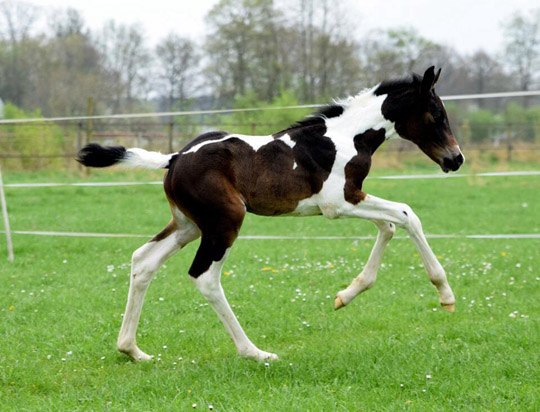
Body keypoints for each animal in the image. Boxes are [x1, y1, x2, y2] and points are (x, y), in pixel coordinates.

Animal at [77, 67, 464, 360]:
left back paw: (132, 350)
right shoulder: (339, 203)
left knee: (143, 261)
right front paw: (445, 294)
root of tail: (174, 158)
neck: (346, 137)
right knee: (205, 277)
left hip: (189, 226)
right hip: (225, 222)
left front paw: (346, 294)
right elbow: (406, 215)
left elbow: (388, 226)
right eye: (436, 114)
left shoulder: (346, 202)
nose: (456, 159)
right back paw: (254, 352)